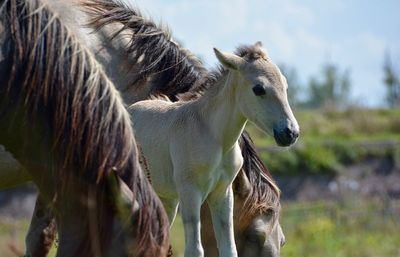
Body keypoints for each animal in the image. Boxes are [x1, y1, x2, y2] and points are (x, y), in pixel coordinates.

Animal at [130, 43, 298, 255]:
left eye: (285, 86)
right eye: (258, 89)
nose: (290, 133)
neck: (214, 135)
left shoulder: (223, 193)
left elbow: (229, 249)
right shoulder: (190, 192)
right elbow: (194, 250)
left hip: (167, 198)